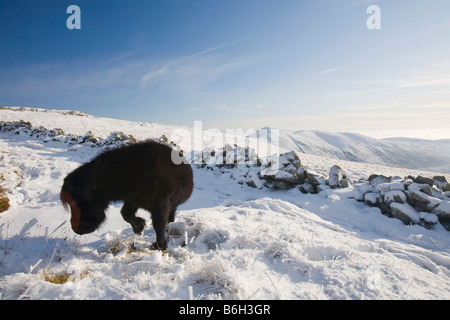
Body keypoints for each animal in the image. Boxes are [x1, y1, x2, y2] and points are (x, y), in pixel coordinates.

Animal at [60, 141, 193, 250]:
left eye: (79, 201)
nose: (76, 228)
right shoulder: (132, 201)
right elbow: (125, 214)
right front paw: (139, 228)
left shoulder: (160, 206)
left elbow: (158, 225)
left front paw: (159, 246)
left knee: (170, 216)